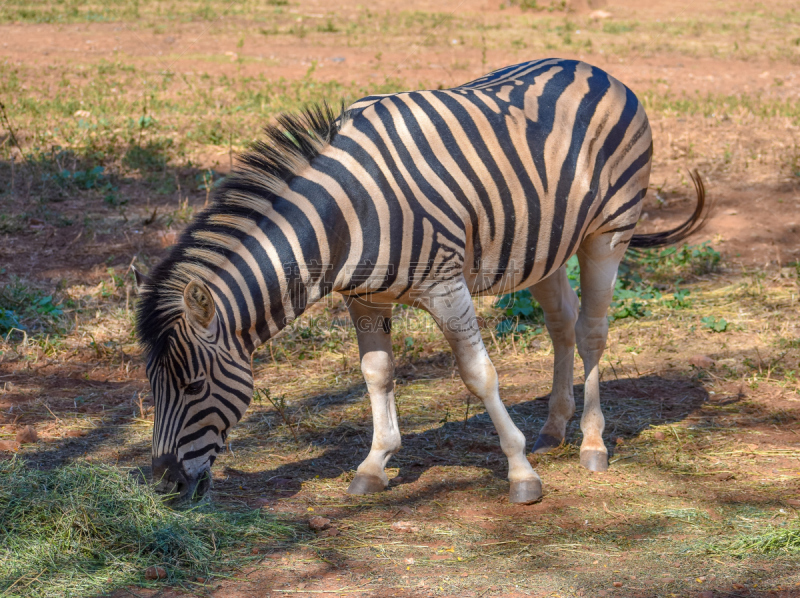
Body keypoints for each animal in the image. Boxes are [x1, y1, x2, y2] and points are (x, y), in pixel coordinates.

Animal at [138, 57, 708, 506]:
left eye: (193, 386)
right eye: (153, 387)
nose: (163, 486)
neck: (346, 219)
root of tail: (595, 69)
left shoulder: (446, 285)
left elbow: (480, 375)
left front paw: (521, 473)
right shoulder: (364, 298)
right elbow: (377, 373)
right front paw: (374, 465)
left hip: (608, 232)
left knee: (592, 331)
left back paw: (592, 443)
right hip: (542, 246)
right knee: (562, 323)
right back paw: (553, 429)